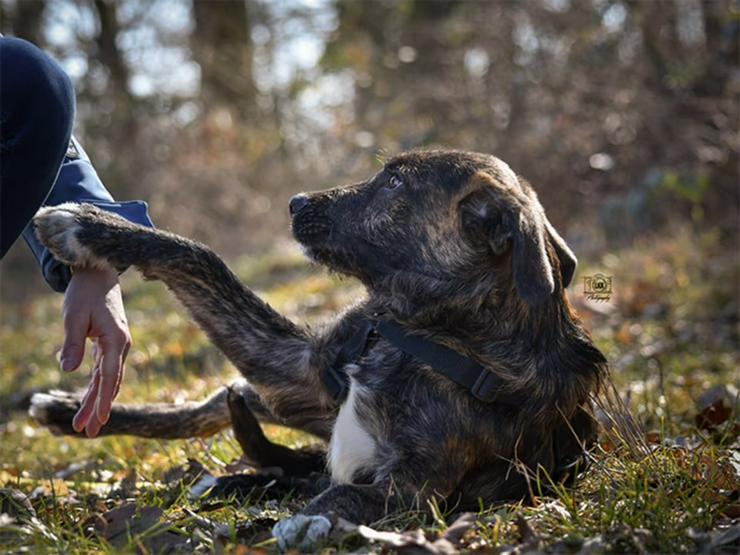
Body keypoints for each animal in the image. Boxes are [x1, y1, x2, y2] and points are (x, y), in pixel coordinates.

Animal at [30, 150, 608, 548]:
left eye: (395, 181)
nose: (296, 202)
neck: (430, 331)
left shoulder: (413, 491)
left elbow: (347, 493)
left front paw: (307, 520)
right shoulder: (299, 368)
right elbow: (195, 256)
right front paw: (92, 225)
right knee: (216, 403)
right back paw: (69, 411)